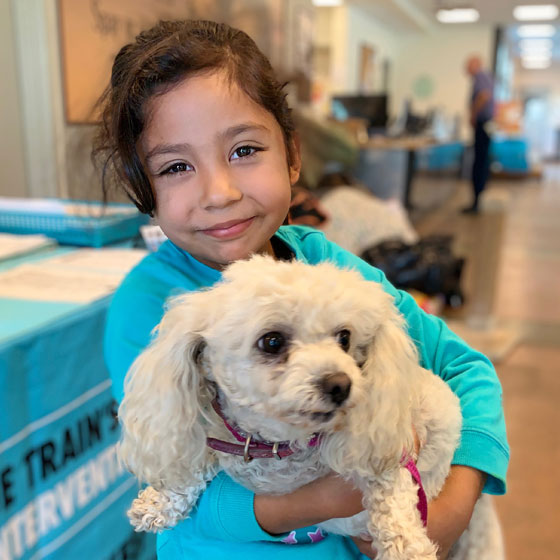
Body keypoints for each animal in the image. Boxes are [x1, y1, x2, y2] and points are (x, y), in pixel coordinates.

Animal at [118, 256, 504, 556]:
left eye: (345, 337)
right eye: (272, 341)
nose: (340, 385)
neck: (279, 446)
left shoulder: (387, 464)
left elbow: (395, 514)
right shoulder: (222, 440)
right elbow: (198, 465)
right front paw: (159, 503)